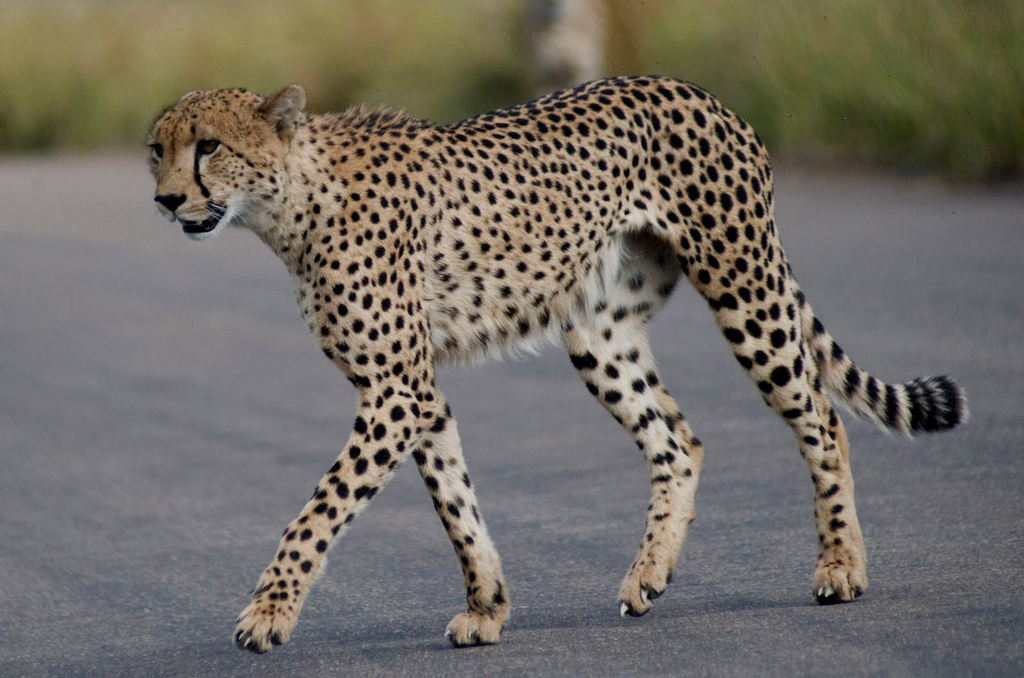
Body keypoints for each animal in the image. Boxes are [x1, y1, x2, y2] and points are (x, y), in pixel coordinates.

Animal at [146, 76, 967, 654]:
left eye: (209, 146)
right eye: (158, 148)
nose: (164, 199)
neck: (290, 204)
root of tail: (698, 90)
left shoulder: (395, 392)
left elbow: (319, 511)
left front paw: (268, 614)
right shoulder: (417, 395)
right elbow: (456, 503)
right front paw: (487, 608)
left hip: (745, 288)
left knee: (822, 417)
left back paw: (841, 567)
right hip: (597, 331)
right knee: (678, 440)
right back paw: (650, 573)